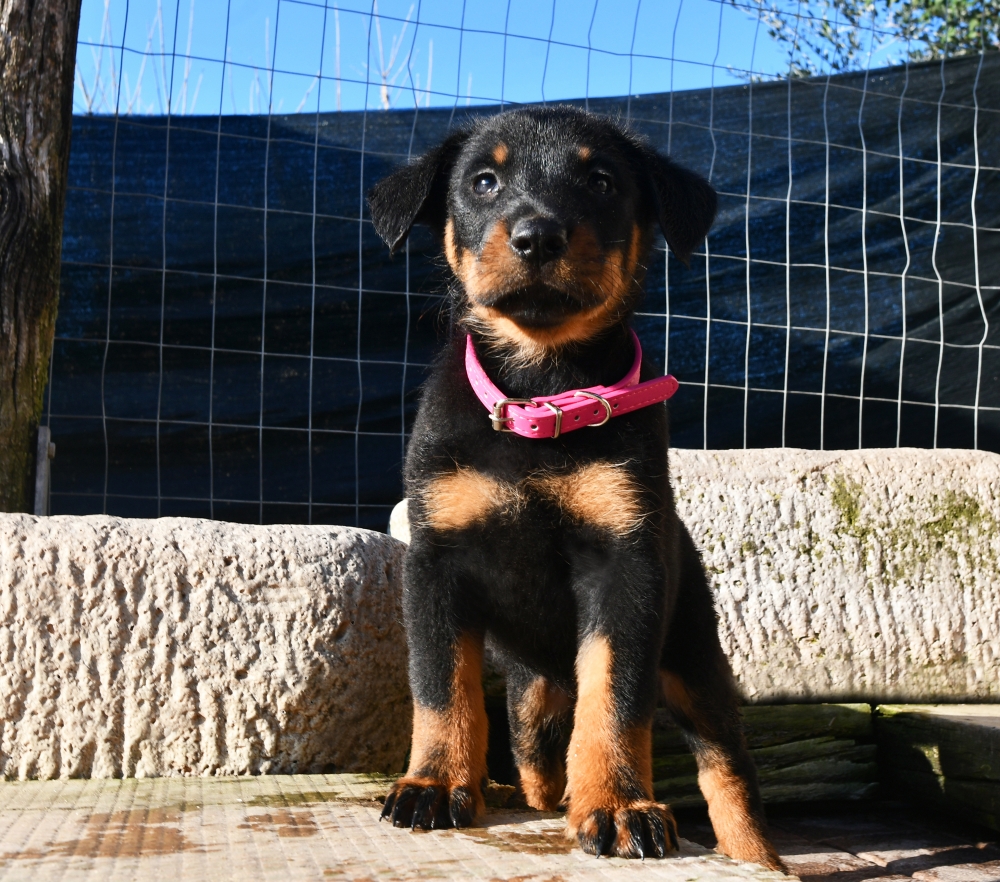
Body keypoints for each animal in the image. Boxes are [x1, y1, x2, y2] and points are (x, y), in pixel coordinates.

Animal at [367, 106, 784, 871]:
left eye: (601, 181)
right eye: (483, 180)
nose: (538, 236)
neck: (542, 385)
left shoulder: (625, 567)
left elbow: (614, 696)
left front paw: (619, 806)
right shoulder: (437, 562)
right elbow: (442, 688)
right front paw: (435, 785)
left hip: (694, 659)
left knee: (727, 770)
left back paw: (755, 858)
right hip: (531, 696)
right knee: (538, 760)